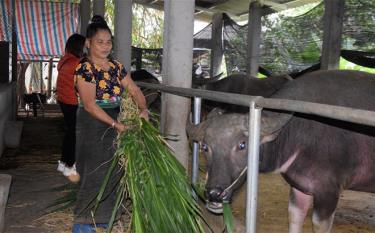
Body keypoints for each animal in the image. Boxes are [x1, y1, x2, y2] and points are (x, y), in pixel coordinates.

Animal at [188, 69, 375, 233]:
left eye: (242, 145)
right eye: (205, 147)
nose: (214, 194)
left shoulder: (329, 192)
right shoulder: (300, 188)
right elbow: (294, 218)